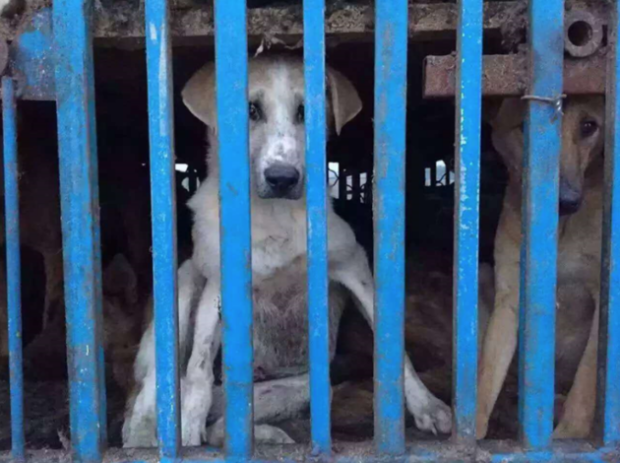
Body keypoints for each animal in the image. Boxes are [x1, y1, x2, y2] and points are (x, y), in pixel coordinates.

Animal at [121, 55, 450, 450]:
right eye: (250, 110)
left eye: (305, 112)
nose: (282, 178)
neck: (272, 216)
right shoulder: (217, 285)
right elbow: (198, 365)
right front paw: (187, 431)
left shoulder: (354, 267)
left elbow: (396, 350)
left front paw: (426, 405)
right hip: (183, 285)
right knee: (153, 391)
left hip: (302, 385)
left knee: (233, 415)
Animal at [478, 96, 604, 440]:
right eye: (526, 127)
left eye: (589, 126)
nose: (566, 202)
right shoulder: (509, 298)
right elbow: (487, 374)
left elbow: (585, 383)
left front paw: (568, 436)